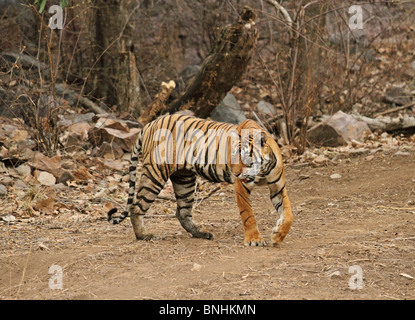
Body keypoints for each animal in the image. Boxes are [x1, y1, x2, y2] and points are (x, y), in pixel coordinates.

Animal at [109, 114, 294, 246]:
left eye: (244, 157)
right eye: (233, 156)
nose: (235, 174)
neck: (262, 170)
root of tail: (150, 123)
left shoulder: (278, 187)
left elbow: (288, 214)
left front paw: (277, 236)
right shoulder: (241, 189)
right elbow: (248, 214)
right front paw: (254, 240)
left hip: (184, 179)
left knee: (182, 212)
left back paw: (201, 233)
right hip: (155, 174)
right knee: (136, 207)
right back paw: (144, 236)